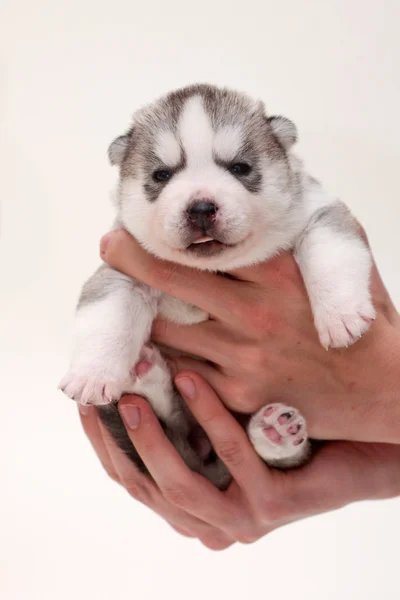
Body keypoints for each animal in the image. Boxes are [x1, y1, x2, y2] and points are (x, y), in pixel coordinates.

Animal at [59, 83, 376, 488]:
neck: (214, 269)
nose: (200, 208)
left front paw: (341, 315)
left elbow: (331, 252)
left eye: (240, 168)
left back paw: (274, 434)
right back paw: (145, 377)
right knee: (175, 422)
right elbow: (106, 319)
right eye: (162, 175)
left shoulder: (320, 213)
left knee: (276, 458)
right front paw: (93, 375)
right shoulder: (121, 271)